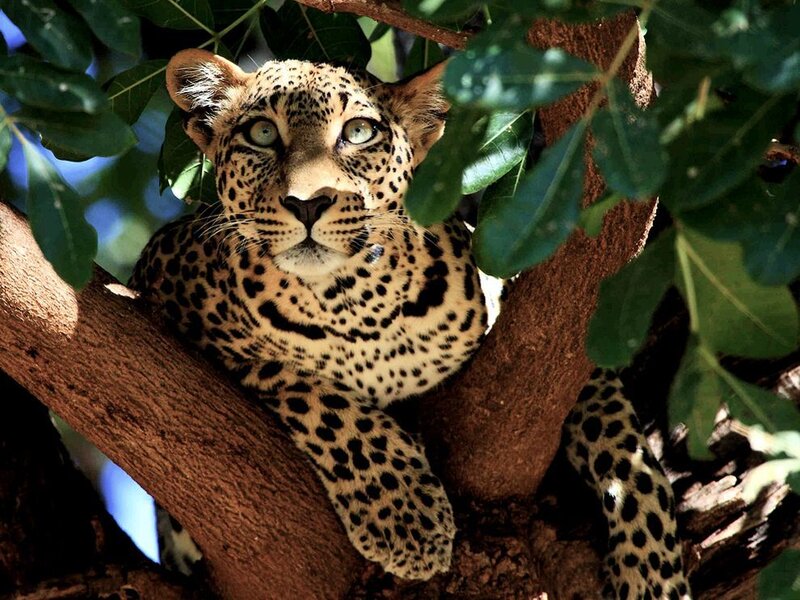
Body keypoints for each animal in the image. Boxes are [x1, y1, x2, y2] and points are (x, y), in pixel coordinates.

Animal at [130, 48, 691, 599]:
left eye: (359, 132)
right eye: (262, 134)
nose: (308, 203)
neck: (354, 305)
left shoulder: (544, 330)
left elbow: (618, 437)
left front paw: (653, 572)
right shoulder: (159, 284)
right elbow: (319, 399)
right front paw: (407, 518)